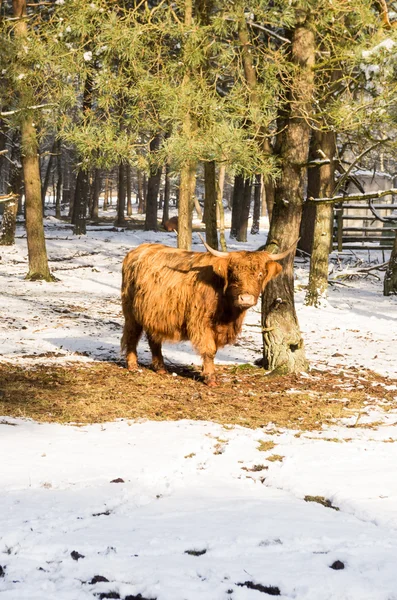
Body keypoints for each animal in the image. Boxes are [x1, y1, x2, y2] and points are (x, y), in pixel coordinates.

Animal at [120, 239, 294, 384]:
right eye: (234, 275)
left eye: (260, 274)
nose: (245, 299)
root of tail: (137, 250)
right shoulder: (201, 322)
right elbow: (209, 349)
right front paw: (210, 378)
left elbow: (213, 349)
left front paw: (205, 372)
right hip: (131, 311)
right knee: (132, 334)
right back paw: (132, 365)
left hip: (153, 314)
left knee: (153, 338)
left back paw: (160, 368)